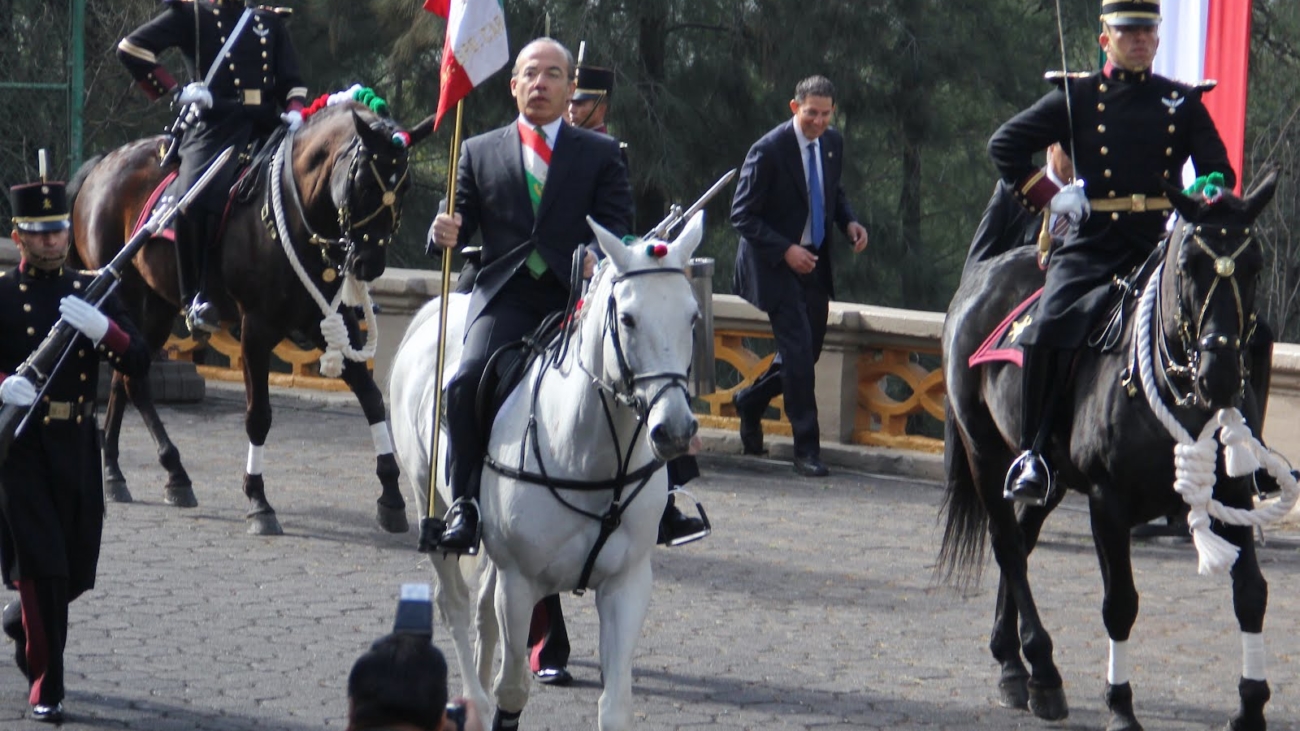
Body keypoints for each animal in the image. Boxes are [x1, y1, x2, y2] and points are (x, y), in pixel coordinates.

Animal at [69, 102, 431, 533]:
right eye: (361, 182)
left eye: (404, 186)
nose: (368, 263)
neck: (296, 211)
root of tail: (103, 163)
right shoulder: (256, 329)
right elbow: (258, 415)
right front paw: (258, 500)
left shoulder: (326, 321)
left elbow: (372, 398)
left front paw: (391, 495)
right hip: (125, 297)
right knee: (131, 380)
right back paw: (156, 469)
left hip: (157, 305)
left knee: (127, 380)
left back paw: (126, 471)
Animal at [390, 210, 707, 728]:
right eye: (628, 318)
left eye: (692, 316)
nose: (675, 431)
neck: (589, 454)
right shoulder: (520, 585)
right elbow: (513, 689)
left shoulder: (627, 584)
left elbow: (614, 706)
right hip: (426, 498)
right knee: (455, 604)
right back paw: (474, 699)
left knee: (481, 609)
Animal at [941, 171, 1284, 728]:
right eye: (1188, 266)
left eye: (1253, 265)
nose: (1220, 376)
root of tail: (982, 275)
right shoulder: (1108, 502)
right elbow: (1119, 603)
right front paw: (1120, 705)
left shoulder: (1233, 495)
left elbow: (1251, 594)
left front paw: (1251, 705)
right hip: (983, 450)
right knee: (1008, 545)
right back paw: (1039, 671)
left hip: (1050, 476)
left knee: (1022, 538)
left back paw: (1011, 657)